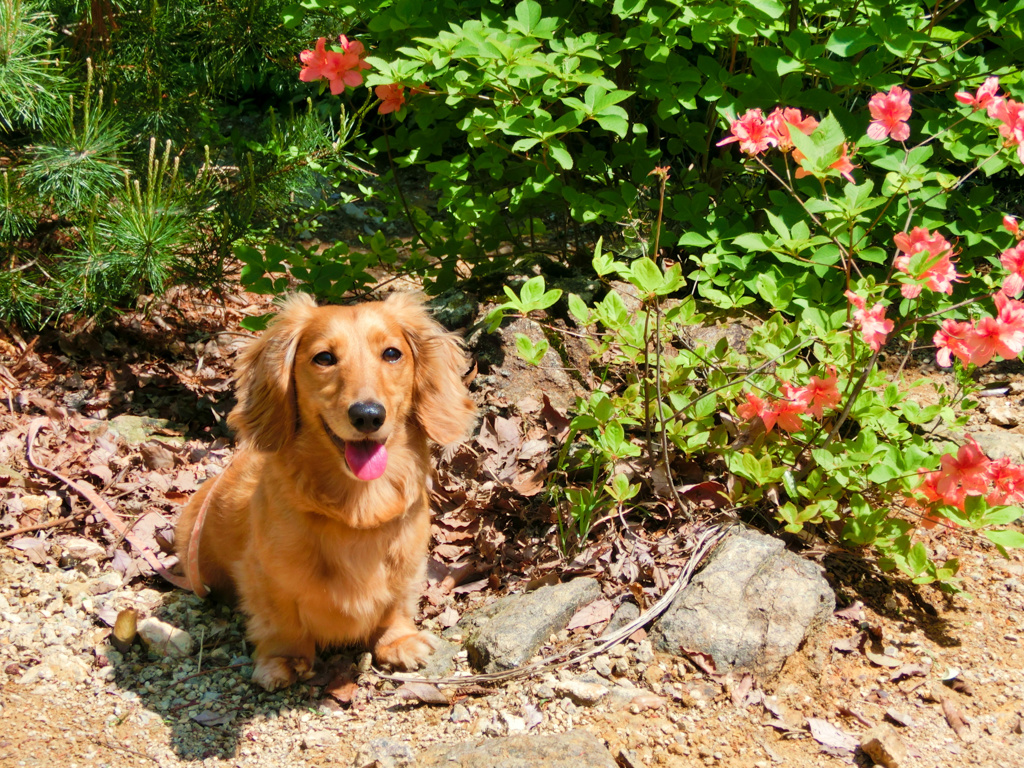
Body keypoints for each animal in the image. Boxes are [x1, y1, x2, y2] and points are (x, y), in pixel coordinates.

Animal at [174, 292, 477, 692]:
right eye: (324, 358)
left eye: (392, 353)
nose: (368, 415)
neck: (359, 507)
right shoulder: (265, 576)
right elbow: (280, 620)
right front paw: (283, 659)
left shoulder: (407, 565)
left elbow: (395, 605)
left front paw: (397, 640)